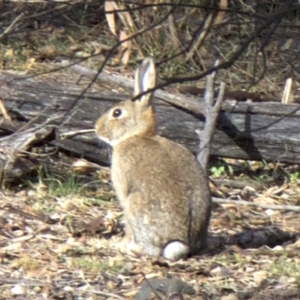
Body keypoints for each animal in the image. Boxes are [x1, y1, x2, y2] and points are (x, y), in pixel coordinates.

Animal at [95, 56, 211, 260]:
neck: (136, 135)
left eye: (117, 113)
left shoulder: (124, 192)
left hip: (135, 204)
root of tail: (181, 244)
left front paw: (120, 246)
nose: (96, 128)